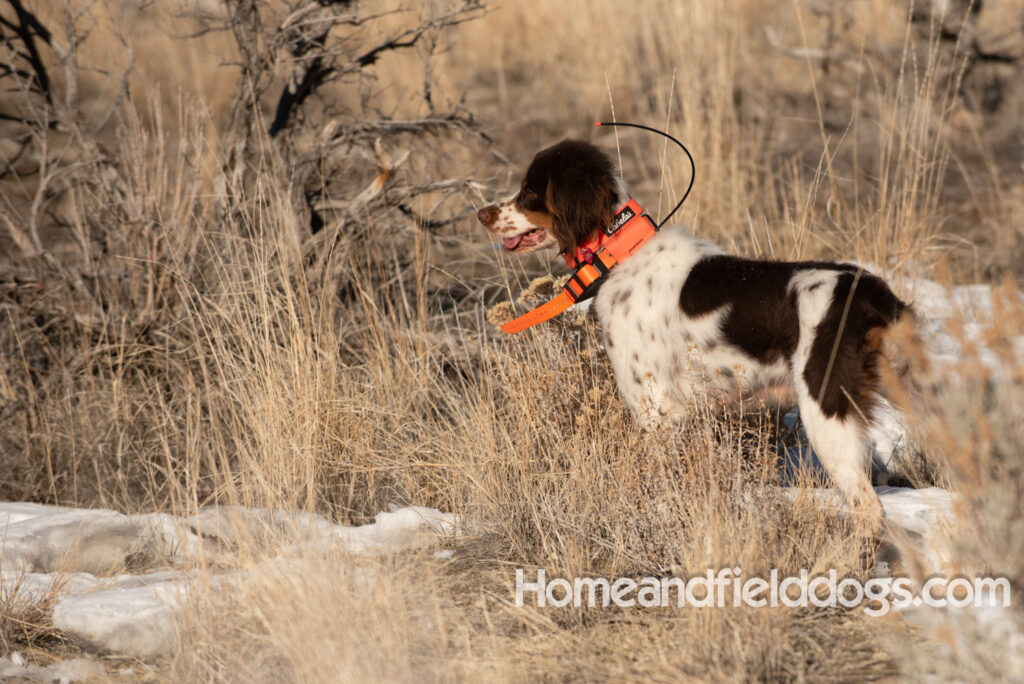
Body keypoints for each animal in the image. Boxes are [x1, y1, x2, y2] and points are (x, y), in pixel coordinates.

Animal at [471, 140, 913, 532]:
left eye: (529, 192)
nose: (481, 213)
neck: (622, 255)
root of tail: (874, 293)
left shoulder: (657, 411)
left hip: (827, 412)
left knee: (868, 506)